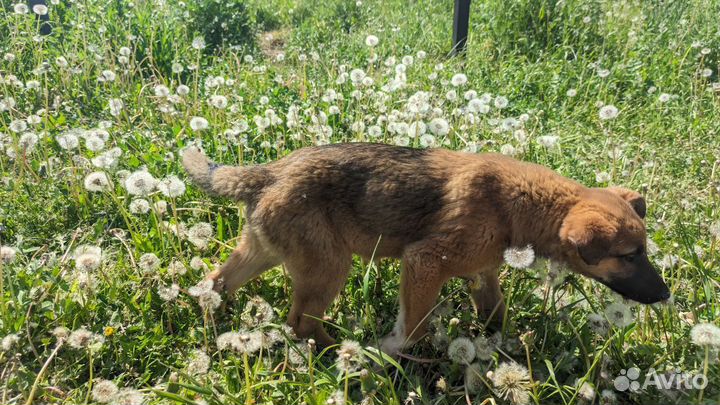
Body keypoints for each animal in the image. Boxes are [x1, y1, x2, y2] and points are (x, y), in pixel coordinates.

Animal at [183, 142, 672, 354]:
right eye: (629, 256)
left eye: (644, 251)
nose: (667, 295)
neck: (519, 204)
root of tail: (268, 173)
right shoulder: (424, 263)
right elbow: (414, 328)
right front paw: (390, 351)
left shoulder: (482, 274)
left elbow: (496, 316)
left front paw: (508, 347)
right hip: (329, 268)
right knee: (300, 322)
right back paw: (342, 353)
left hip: (260, 253)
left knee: (216, 283)